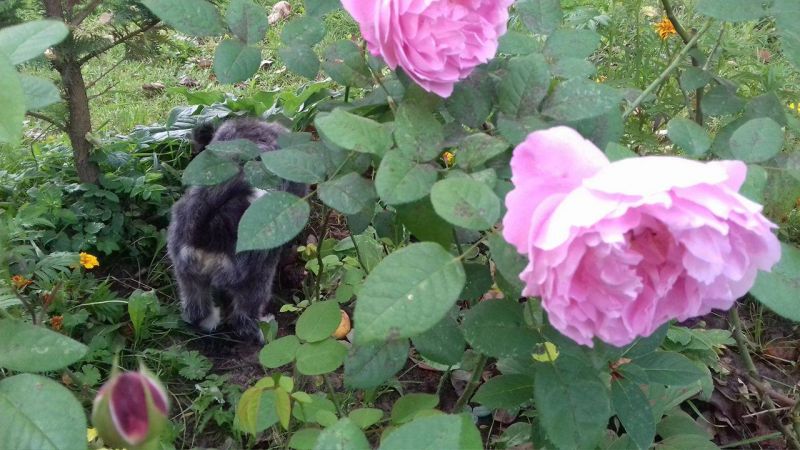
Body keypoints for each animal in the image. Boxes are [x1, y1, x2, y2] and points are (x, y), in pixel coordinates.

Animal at [167, 118, 306, 344]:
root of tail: (209, 227)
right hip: (255, 279)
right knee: (244, 318)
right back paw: (264, 328)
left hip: (187, 274)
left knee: (196, 310)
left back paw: (209, 320)